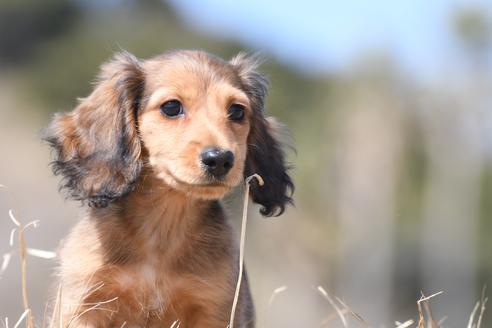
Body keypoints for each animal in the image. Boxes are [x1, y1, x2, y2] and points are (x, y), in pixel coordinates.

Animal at [45, 49, 292, 328]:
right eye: (172, 107)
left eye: (237, 111)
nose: (220, 159)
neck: (162, 229)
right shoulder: (83, 303)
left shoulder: (216, 307)